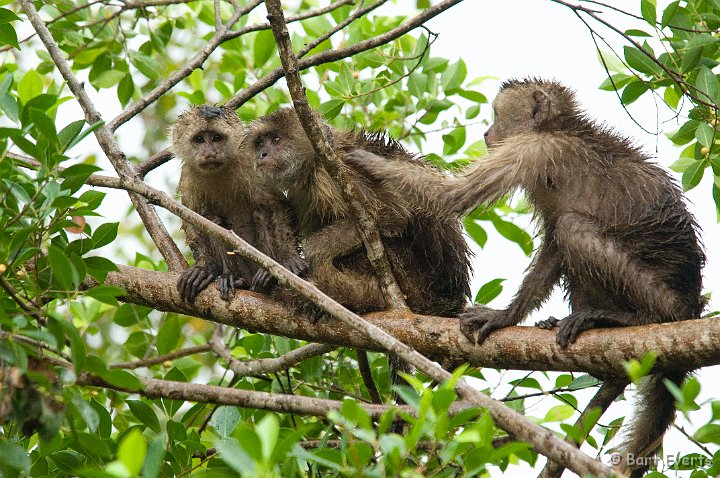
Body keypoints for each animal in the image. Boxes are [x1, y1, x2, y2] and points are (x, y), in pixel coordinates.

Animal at [172, 106, 306, 304]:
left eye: (217, 138)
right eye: (199, 139)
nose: (209, 153)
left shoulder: (250, 163)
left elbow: (277, 207)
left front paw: (288, 259)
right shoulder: (189, 174)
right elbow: (191, 219)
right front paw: (205, 267)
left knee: (261, 213)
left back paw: (265, 277)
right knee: (213, 220)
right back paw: (232, 278)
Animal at [344, 79, 704, 478]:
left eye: (496, 115)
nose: (487, 133)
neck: (558, 127)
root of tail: (692, 301)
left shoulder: (533, 150)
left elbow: (452, 196)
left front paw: (364, 160)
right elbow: (552, 249)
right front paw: (507, 316)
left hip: (663, 295)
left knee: (573, 227)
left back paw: (631, 317)